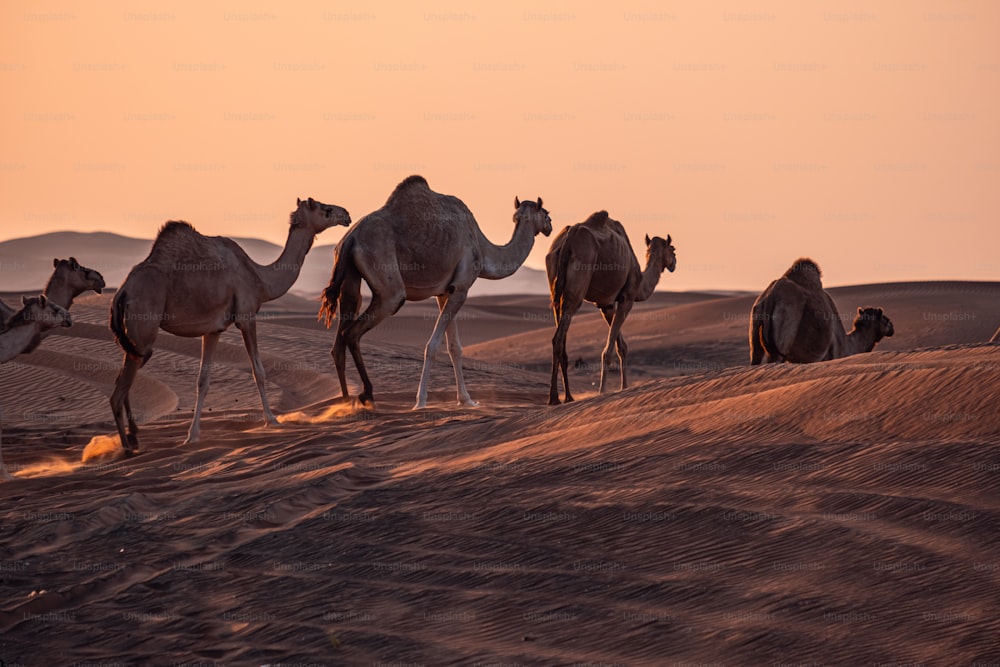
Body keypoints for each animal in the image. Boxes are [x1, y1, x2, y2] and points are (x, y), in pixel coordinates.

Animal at [109, 198, 350, 454]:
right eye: (326, 209)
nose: (346, 214)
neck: (261, 279)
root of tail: (122, 293)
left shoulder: (213, 330)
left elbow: (203, 381)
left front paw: (192, 436)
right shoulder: (246, 317)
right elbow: (258, 371)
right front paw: (271, 420)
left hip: (132, 340)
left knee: (123, 384)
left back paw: (133, 437)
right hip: (143, 330)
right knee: (118, 393)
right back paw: (127, 447)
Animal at [320, 175, 552, 410]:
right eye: (546, 213)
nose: (550, 226)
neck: (483, 247)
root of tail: (349, 239)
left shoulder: (445, 292)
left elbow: (454, 347)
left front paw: (466, 400)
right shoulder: (461, 288)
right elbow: (432, 346)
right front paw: (421, 401)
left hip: (350, 278)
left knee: (339, 340)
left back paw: (345, 402)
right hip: (388, 287)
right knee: (352, 332)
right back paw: (367, 394)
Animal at [548, 211, 680, 404]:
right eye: (673, 249)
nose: (674, 264)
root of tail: (569, 237)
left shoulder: (606, 305)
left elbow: (621, 347)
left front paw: (624, 387)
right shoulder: (627, 298)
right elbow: (609, 350)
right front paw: (603, 391)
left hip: (555, 288)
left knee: (559, 331)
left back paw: (568, 397)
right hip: (577, 283)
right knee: (558, 337)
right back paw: (554, 398)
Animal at [748, 258, 896, 366]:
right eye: (885, 319)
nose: (892, 328)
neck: (848, 344)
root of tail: (771, 297)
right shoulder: (832, 356)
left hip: (756, 330)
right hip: (782, 340)